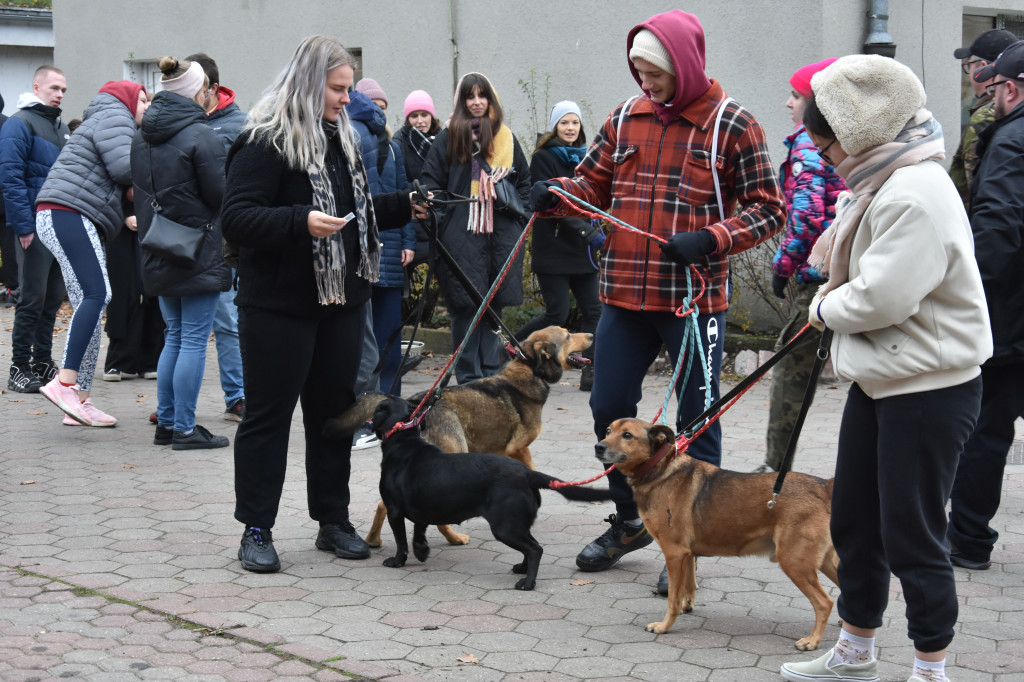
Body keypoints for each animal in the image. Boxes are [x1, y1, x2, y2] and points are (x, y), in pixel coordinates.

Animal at [327, 325, 598, 548]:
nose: (592, 335)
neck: (529, 368)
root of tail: (413, 404)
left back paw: (373, 539)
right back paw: (454, 537)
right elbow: (533, 468)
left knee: (384, 503)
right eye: (568, 335)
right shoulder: (518, 449)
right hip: (453, 453)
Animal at [370, 395, 618, 585]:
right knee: (531, 547)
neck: (404, 440)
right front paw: (421, 551)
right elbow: (419, 530)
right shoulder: (423, 506)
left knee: (535, 549)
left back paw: (528, 582)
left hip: (504, 525)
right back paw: (521, 569)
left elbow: (402, 541)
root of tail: (527, 474)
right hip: (516, 522)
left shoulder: (394, 510)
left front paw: (397, 561)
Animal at [593, 419, 839, 647]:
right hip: (824, 561)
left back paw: (812, 641)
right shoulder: (687, 554)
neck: (659, 469)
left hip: (794, 561)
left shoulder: (674, 553)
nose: (598, 446)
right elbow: (688, 586)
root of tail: (823, 486)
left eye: (627, 435)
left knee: (824, 602)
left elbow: (673, 598)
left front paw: (664, 626)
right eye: (608, 430)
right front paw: (687, 605)